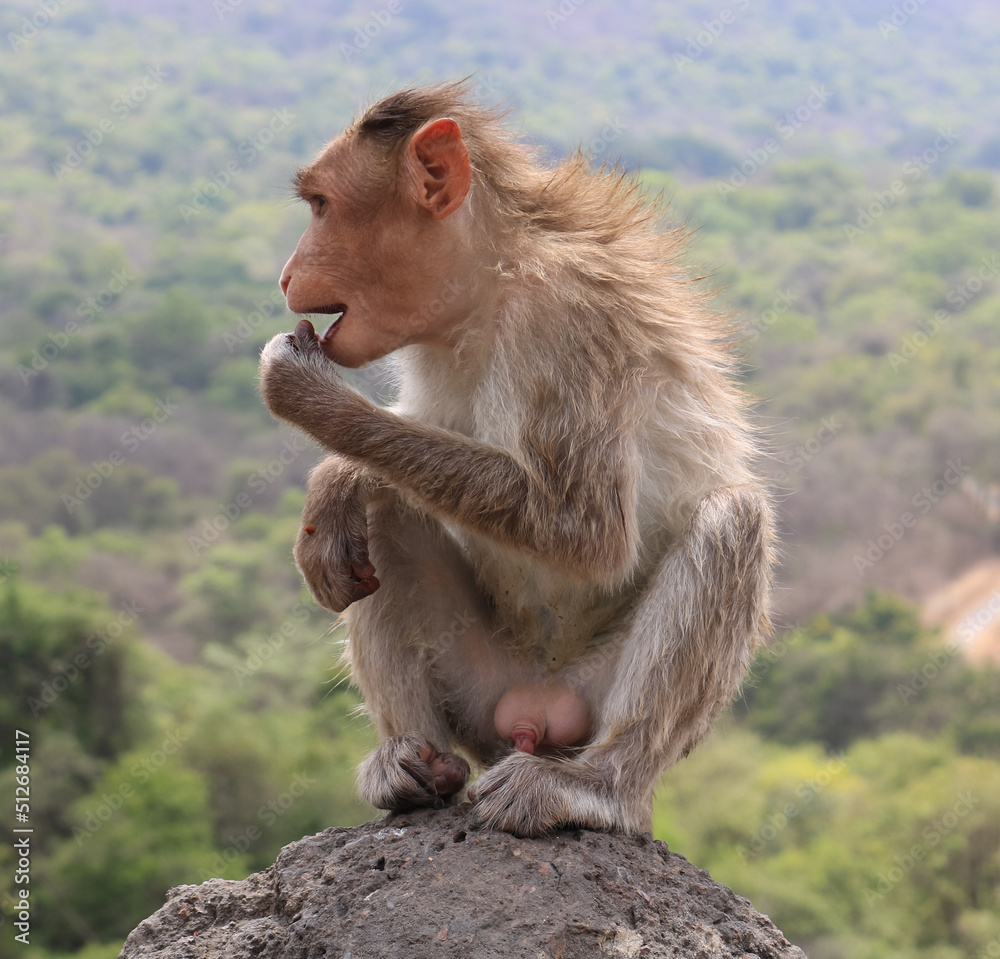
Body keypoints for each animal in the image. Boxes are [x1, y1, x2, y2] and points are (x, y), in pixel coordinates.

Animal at [258, 81, 775, 838]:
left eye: (322, 206)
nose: (288, 274)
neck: (486, 290)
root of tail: (533, 712)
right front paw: (336, 482)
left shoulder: (565, 319)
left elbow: (585, 532)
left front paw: (312, 399)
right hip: (479, 690)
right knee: (379, 520)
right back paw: (412, 764)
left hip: (590, 698)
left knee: (733, 519)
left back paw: (598, 785)